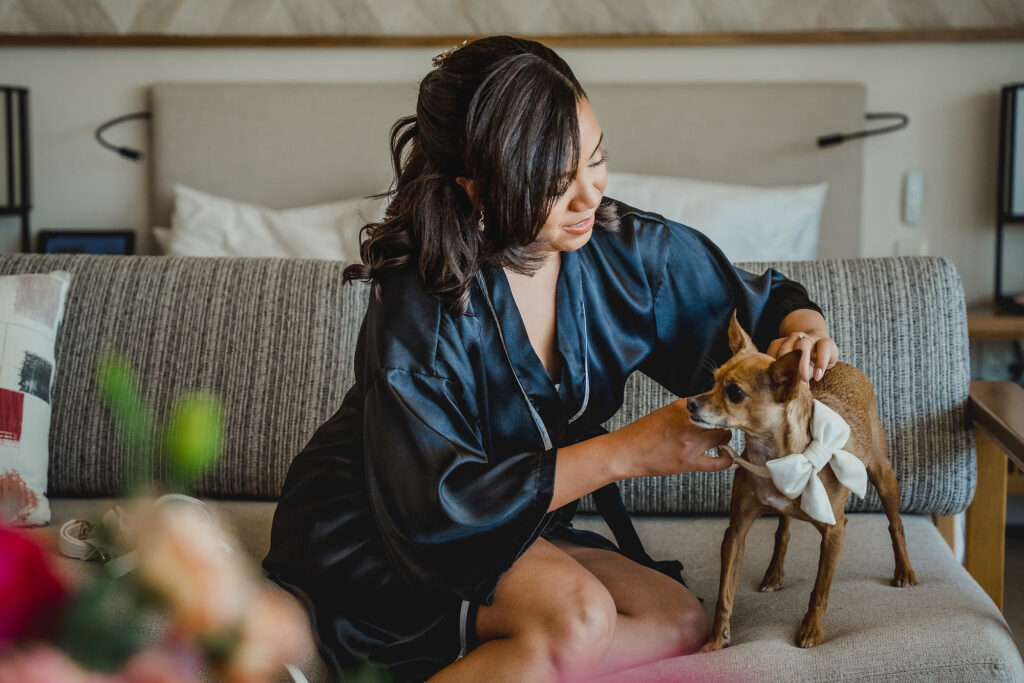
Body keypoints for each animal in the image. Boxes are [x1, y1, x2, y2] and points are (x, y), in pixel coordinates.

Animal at [689, 313, 916, 650]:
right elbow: (725, 593)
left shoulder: (835, 532)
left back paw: (904, 570)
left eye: (735, 393)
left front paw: (811, 630)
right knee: (782, 532)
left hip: (883, 475)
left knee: (896, 524)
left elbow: (820, 590)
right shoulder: (736, 532)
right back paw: (773, 574)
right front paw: (717, 639)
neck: (774, 459)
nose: (691, 403)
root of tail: (842, 364)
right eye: (712, 381)